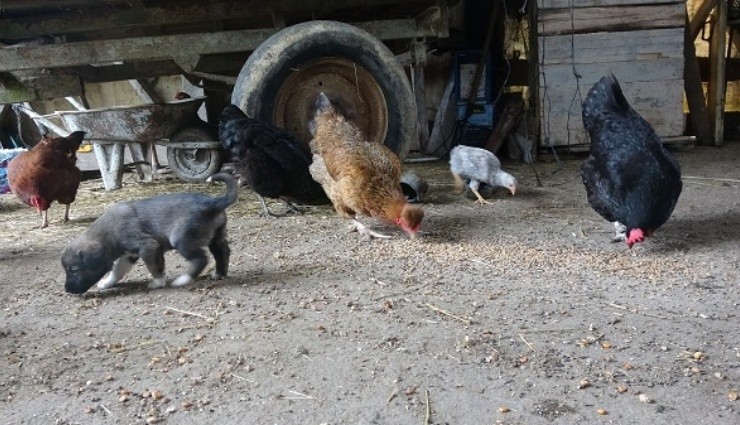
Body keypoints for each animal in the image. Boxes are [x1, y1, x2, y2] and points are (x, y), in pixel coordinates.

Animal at [62, 174, 240, 294]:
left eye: (74, 270)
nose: (67, 290)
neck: (108, 233)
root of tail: (213, 202)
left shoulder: (149, 247)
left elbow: (155, 267)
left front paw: (158, 283)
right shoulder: (128, 255)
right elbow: (117, 271)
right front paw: (107, 282)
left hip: (182, 240)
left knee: (201, 259)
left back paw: (182, 279)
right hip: (216, 235)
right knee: (223, 252)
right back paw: (219, 274)